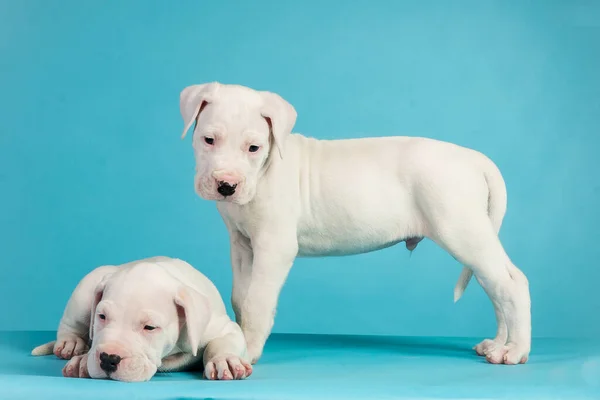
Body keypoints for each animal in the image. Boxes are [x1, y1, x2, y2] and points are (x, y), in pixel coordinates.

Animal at [31, 256, 252, 382]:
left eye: (150, 327)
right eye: (101, 317)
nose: (108, 358)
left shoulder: (223, 328)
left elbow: (220, 343)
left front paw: (225, 360)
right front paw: (84, 361)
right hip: (87, 287)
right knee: (71, 324)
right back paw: (71, 343)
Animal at [180, 83, 532, 368]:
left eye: (253, 148)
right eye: (208, 140)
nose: (227, 185)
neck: (264, 171)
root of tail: (475, 159)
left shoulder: (273, 246)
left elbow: (257, 302)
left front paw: (247, 350)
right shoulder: (242, 246)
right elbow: (240, 298)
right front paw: (236, 341)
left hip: (461, 230)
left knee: (512, 283)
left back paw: (514, 351)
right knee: (495, 286)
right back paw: (497, 344)